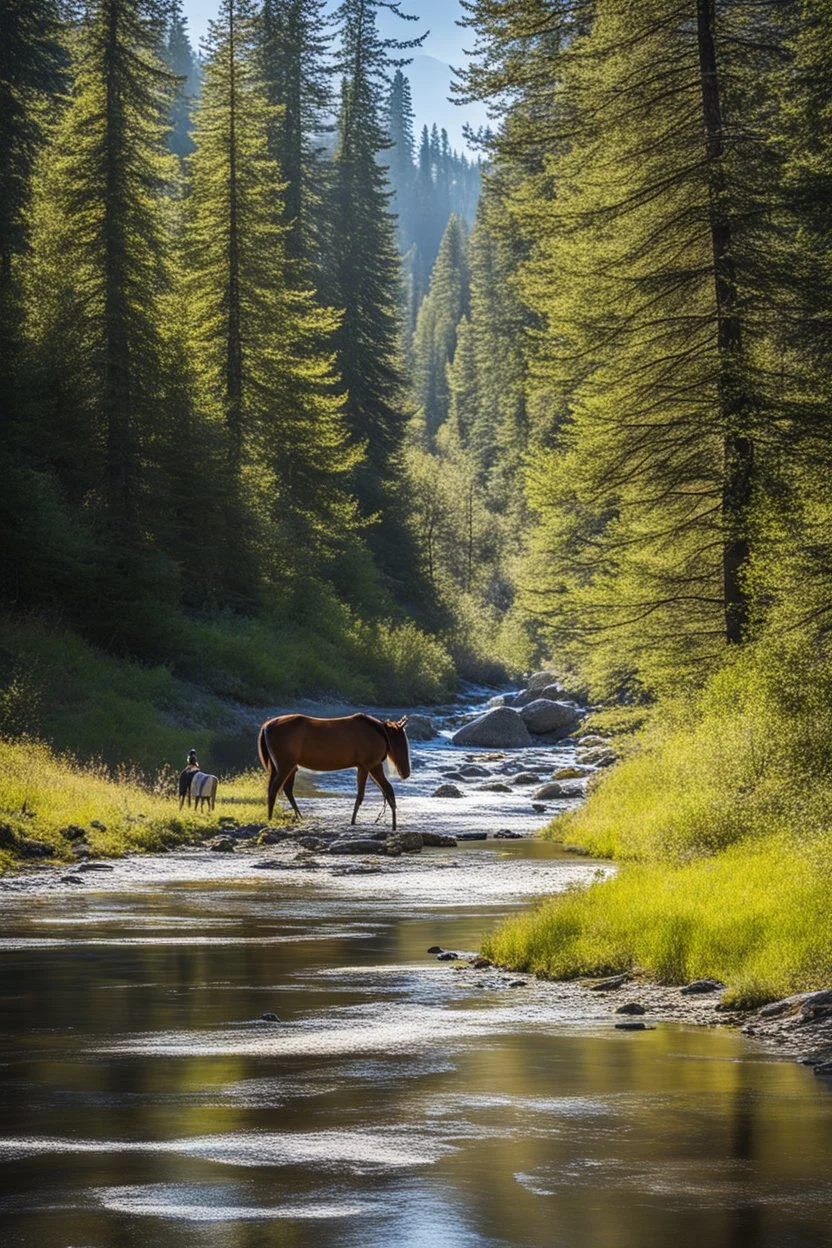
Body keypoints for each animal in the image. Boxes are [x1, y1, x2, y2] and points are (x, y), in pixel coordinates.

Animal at [254, 718, 409, 823]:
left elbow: (377, 792)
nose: (405, 772)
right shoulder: (370, 765)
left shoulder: (365, 766)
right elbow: (371, 793)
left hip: (284, 766)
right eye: (401, 741)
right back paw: (271, 818)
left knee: (284, 789)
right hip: (285, 765)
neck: (379, 733)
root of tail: (266, 727)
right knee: (275, 789)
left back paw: (297, 816)